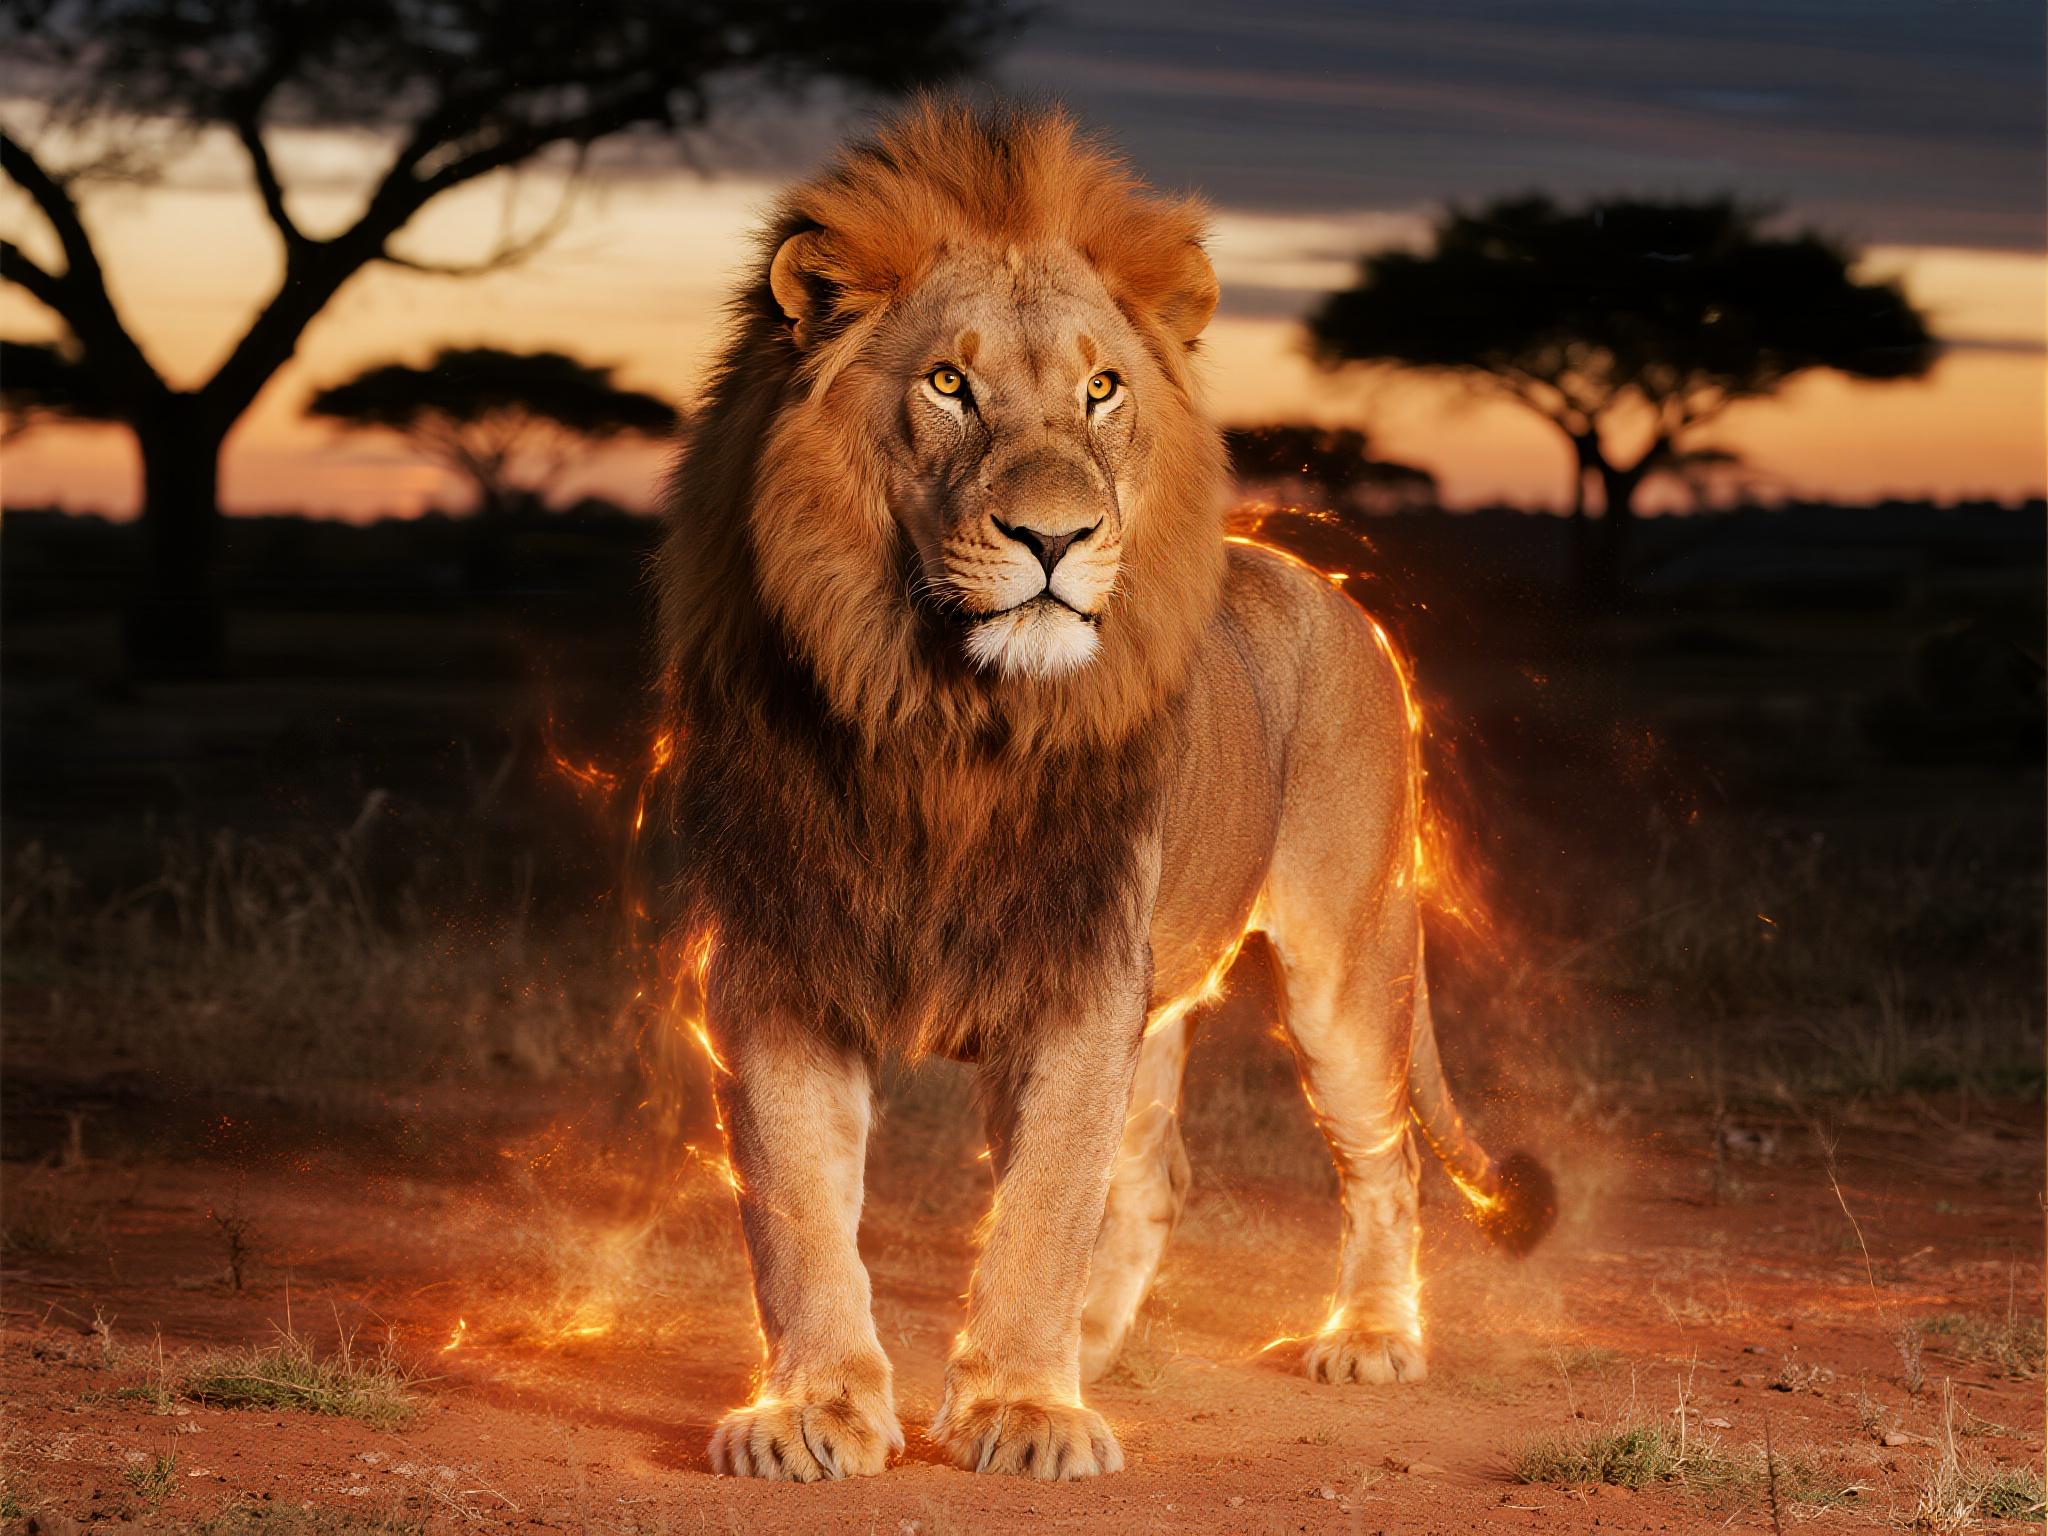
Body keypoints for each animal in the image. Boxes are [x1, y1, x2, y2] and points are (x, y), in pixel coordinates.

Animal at [655, 98, 1555, 1483]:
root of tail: (1320, 583)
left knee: (1380, 1159)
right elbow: (800, 1208)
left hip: (1347, 967)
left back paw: (1363, 1338)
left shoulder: (1077, 978)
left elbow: (1040, 1206)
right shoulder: (778, 959)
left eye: (1100, 388)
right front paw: (815, 1411)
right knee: (1152, 1175)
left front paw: (1025, 1410)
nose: (1055, 539)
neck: (940, 716)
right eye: (948, 383)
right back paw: (1086, 1345)